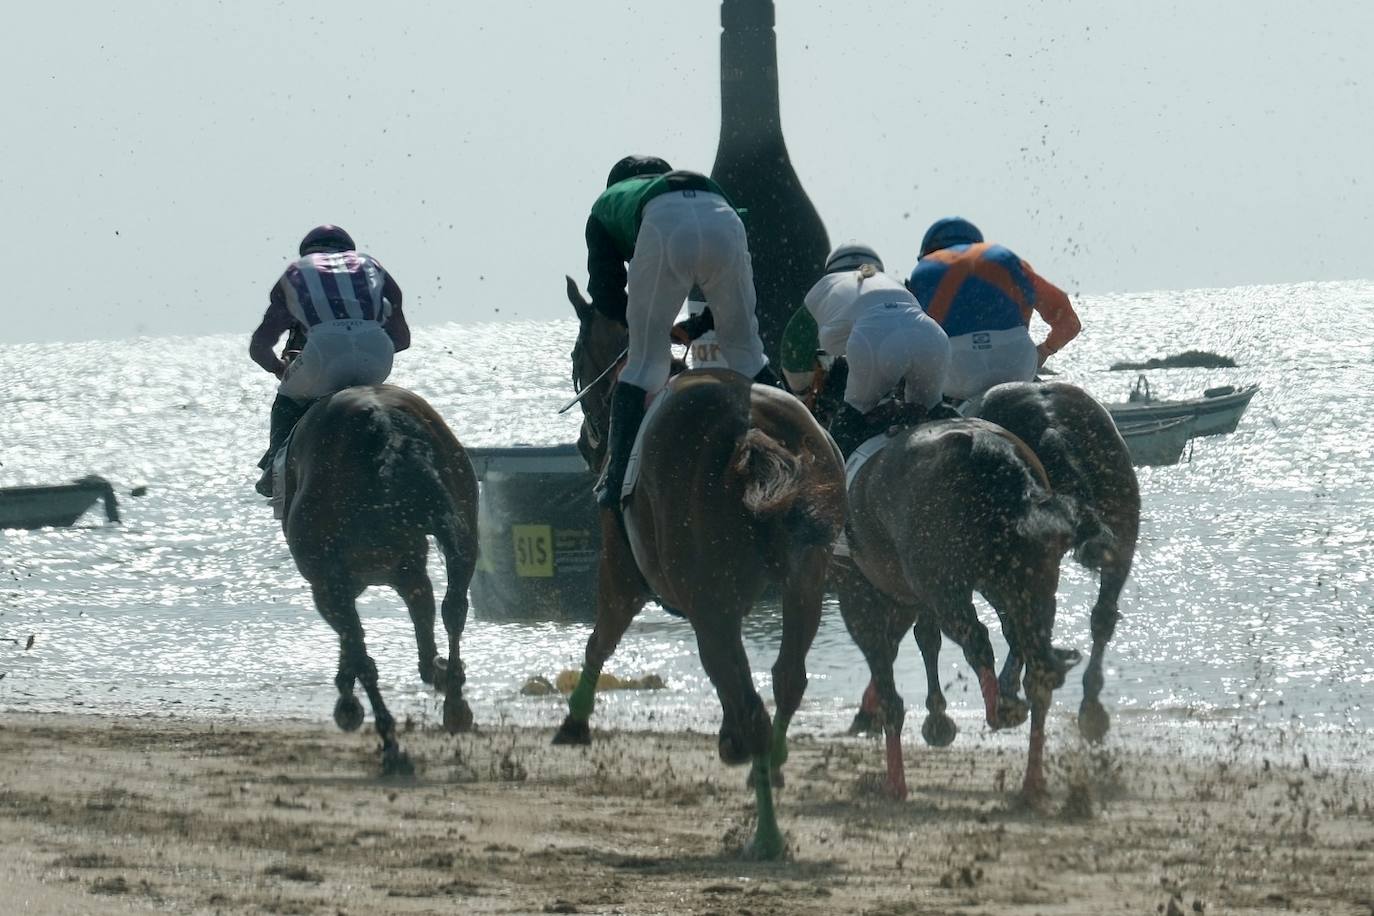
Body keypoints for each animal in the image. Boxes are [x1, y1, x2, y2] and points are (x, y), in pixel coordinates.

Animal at [281, 384, 479, 774]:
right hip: (461, 523)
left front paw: (349, 702)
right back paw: (454, 699)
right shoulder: (405, 572)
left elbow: (357, 647)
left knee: (368, 659)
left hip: (331, 580)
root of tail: (385, 425)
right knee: (454, 608)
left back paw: (391, 743)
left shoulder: (329, 585)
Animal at [552, 296, 847, 859]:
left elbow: (601, 639)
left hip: (711, 603)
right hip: (805, 580)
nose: (582, 442)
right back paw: (770, 766)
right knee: (787, 678)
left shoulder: (624, 574)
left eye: (577, 355)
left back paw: (766, 834)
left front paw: (575, 719)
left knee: (752, 704)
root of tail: (749, 431)